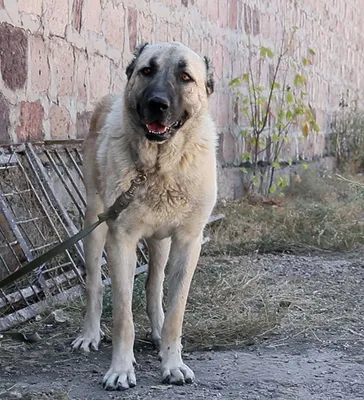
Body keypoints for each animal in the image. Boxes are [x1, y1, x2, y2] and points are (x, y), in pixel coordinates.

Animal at [72, 42, 218, 390]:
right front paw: (121, 369)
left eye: (185, 77)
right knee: (94, 285)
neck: (159, 168)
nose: (157, 104)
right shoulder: (120, 241)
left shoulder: (188, 242)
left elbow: (175, 311)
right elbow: (123, 316)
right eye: (147, 71)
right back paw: (89, 333)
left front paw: (172, 362)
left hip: (160, 243)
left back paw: (157, 332)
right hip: (94, 226)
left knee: (154, 288)